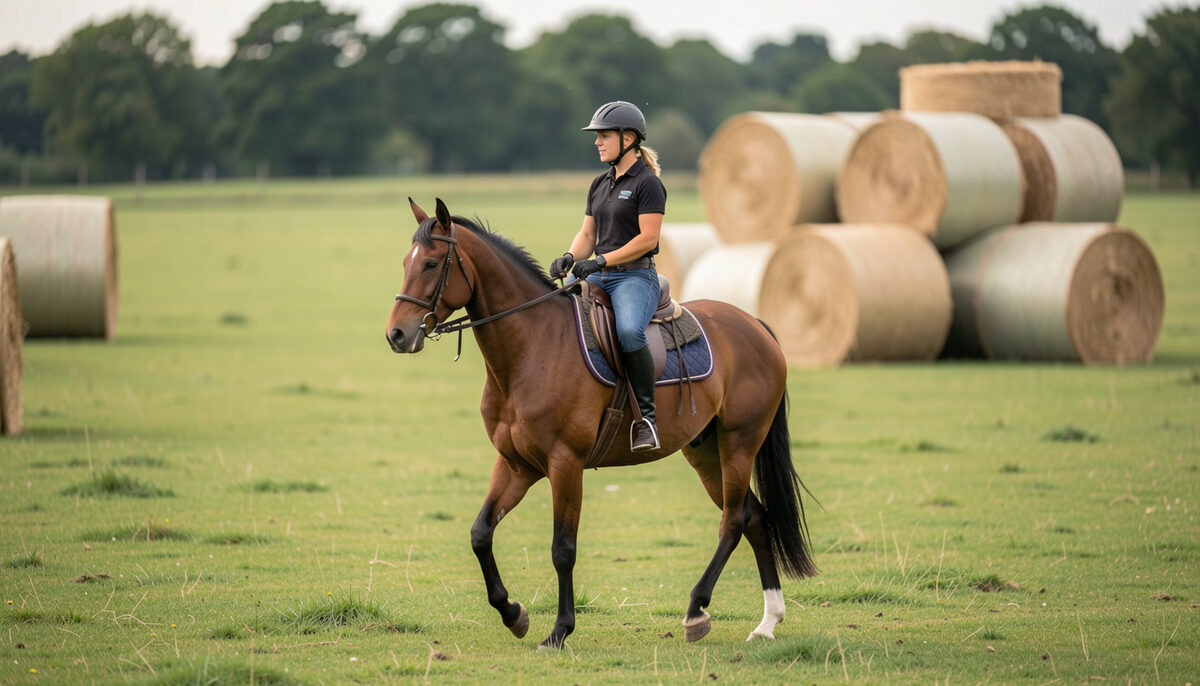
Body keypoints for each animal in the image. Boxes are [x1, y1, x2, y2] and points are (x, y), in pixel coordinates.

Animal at [385, 198, 817, 649]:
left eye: (431, 264)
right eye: (406, 262)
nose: (396, 334)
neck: (533, 346)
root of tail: (756, 326)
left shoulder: (565, 464)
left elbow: (563, 549)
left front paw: (560, 629)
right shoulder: (517, 464)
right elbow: (480, 533)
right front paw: (513, 614)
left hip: (739, 444)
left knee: (733, 522)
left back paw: (697, 610)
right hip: (706, 452)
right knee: (756, 517)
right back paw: (768, 621)